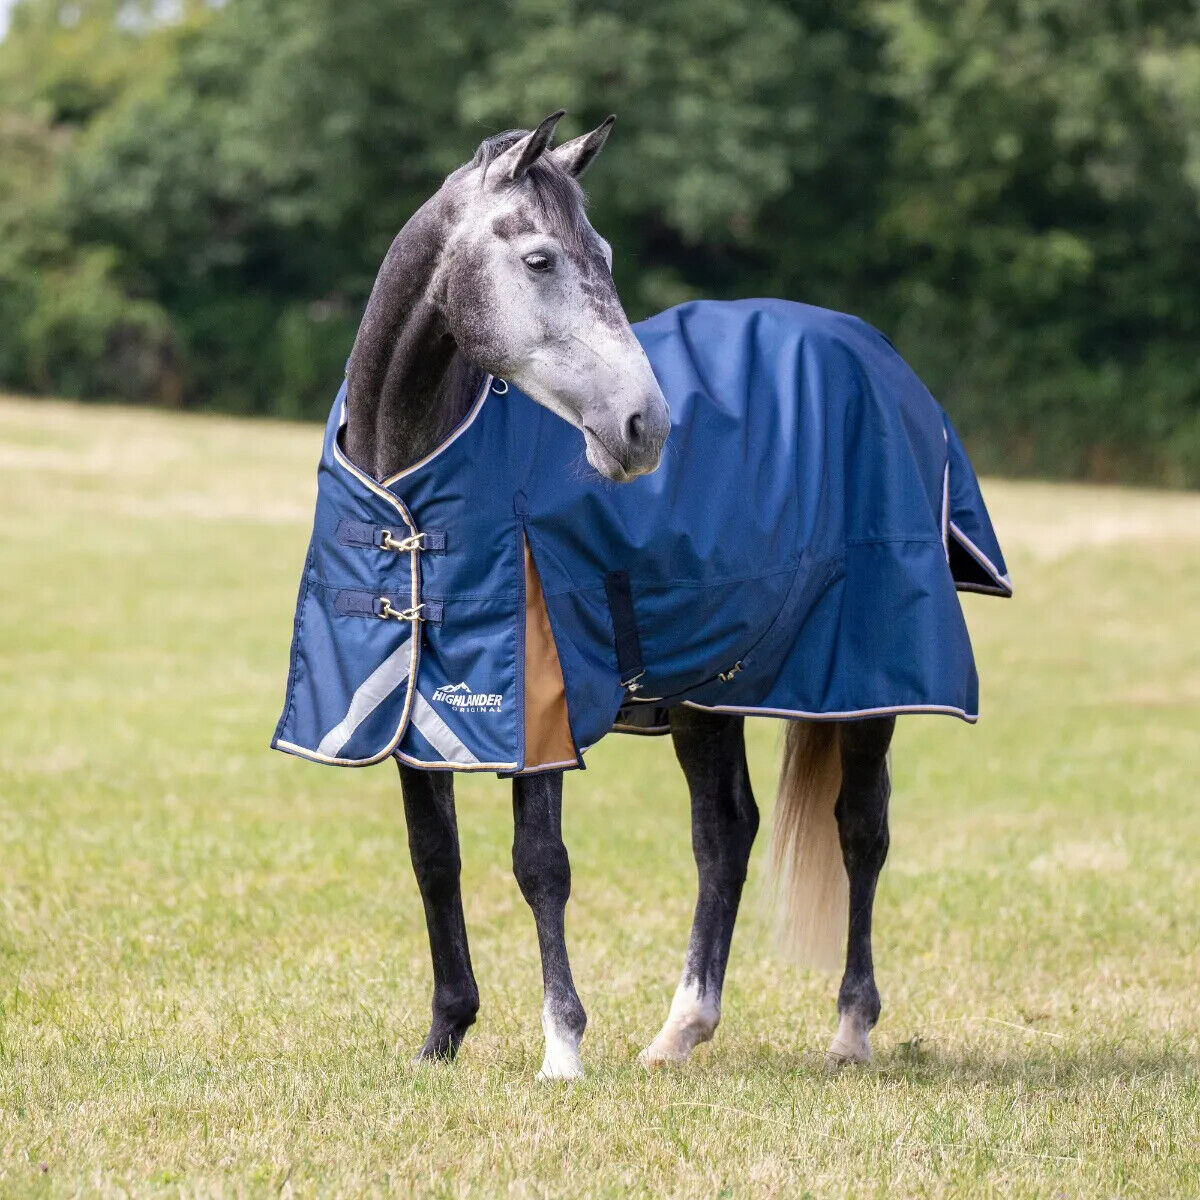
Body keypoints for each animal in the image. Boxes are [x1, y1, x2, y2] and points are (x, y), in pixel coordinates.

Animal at [280, 111, 1005, 1080]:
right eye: (541, 259)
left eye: (609, 256)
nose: (646, 426)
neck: (413, 478)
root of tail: (879, 359)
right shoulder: (407, 701)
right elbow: (434, 858)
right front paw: (443, 1037)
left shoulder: (540, 703)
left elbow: (539, 863)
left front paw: (561, 1048)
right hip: (710, 690)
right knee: (725, 833)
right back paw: (681, 1030)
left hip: (863, 684)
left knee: (861, 831)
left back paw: (850, 1028)